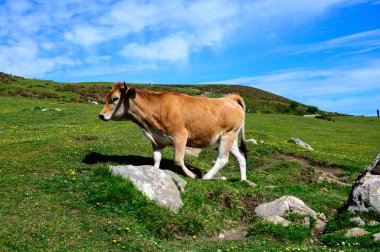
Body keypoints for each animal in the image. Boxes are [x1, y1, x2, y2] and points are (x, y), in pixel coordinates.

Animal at [98, 81, 248, 180]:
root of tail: (230, 98)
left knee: (223, 159)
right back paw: (243, 180)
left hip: (228, 135)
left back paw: (206, 177)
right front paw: (154, 173)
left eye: (115, 99)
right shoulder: (157, 140)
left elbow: (178, 160)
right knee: (241, 157)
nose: (101, 115)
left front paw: (191, 175)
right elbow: (156, 158)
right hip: (231, 138)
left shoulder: (180, 135)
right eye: (106, 98)